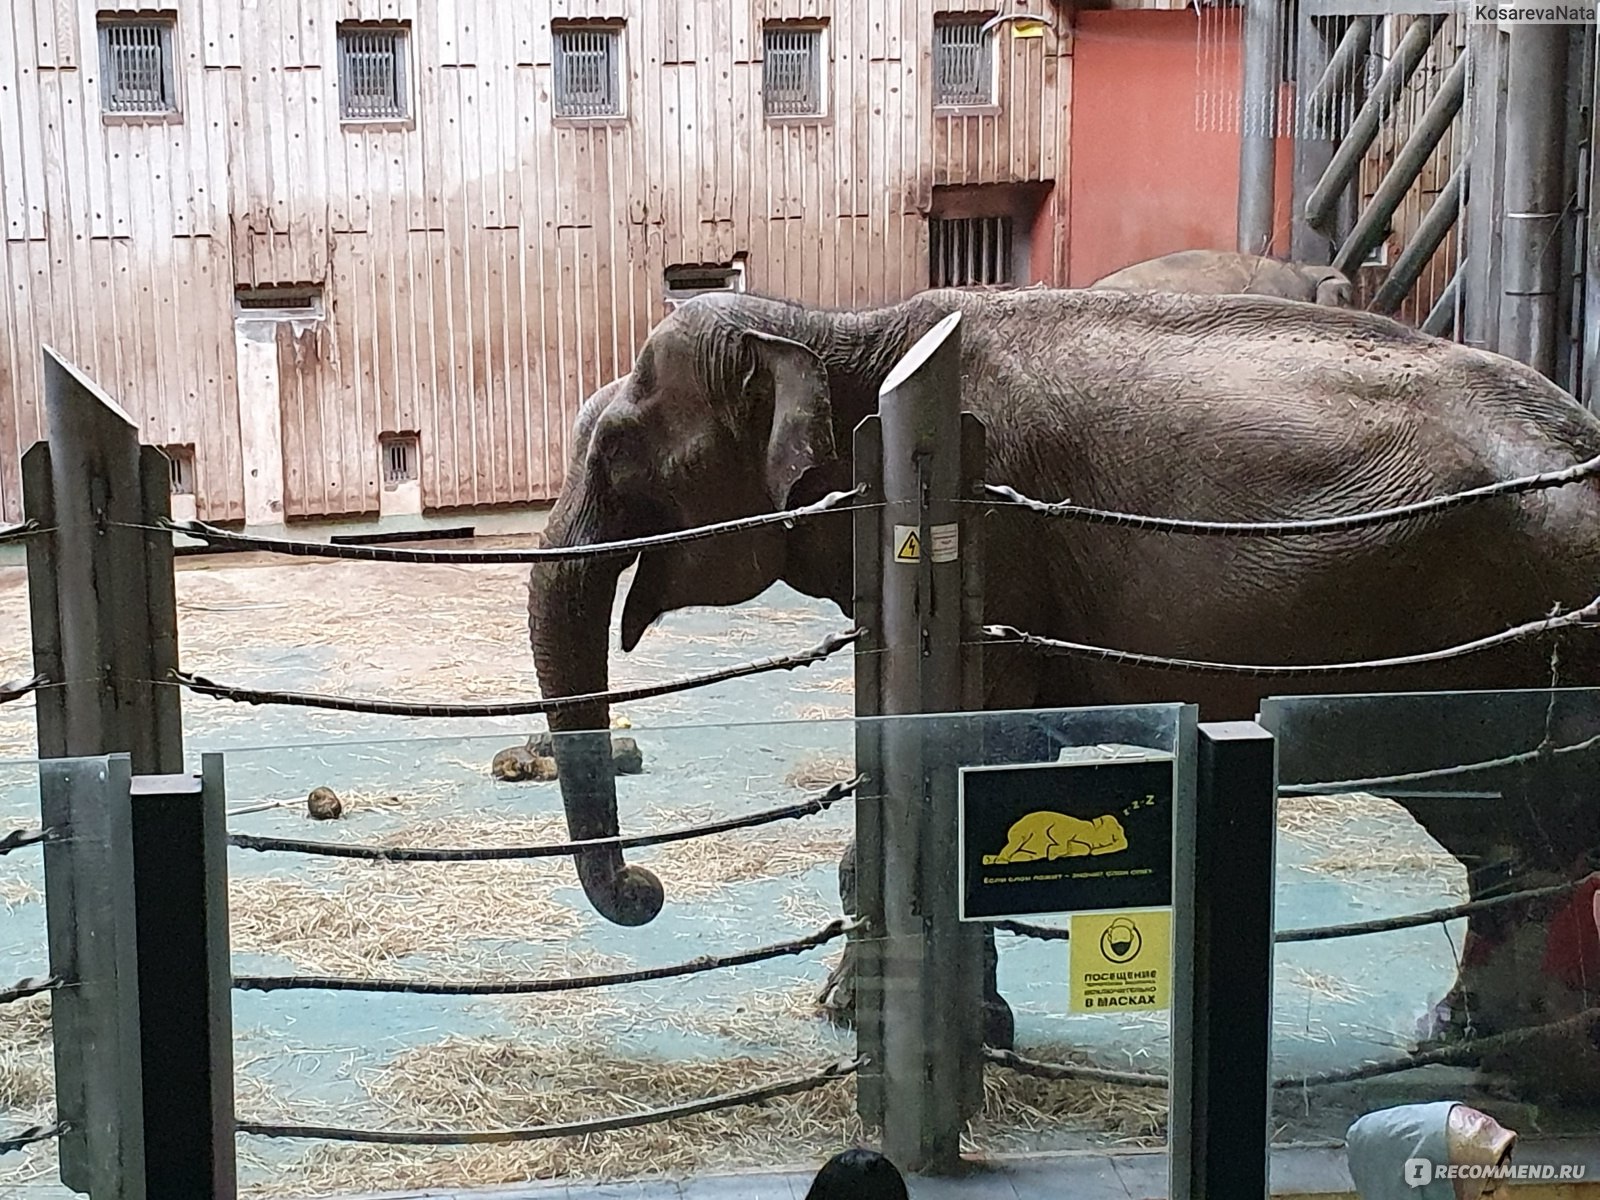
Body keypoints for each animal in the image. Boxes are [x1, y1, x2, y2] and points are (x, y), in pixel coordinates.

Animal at [528, 286, 1600, 1094]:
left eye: (615, 454)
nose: (645, 890)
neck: (846, 334)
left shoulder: (990, 555)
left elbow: (981, 758)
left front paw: (874, 1020)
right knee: (1506, 832)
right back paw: (1470, 1042)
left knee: (1520, 828)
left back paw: (1521, 1068)